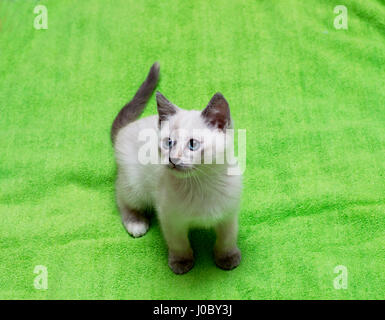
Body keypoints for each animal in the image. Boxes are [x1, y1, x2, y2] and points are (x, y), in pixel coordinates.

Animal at [111, 63, 242, 276]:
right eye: (169, 143)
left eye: (192, 145)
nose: (172, 159)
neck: (201, 183)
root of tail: (127, 127)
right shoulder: (171, 219)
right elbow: (179, 244)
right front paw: (181, 263)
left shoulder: (228, 215)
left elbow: (227, 239)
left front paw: (227, 258)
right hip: (135, 186)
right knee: (122, 199)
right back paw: (136, 223)